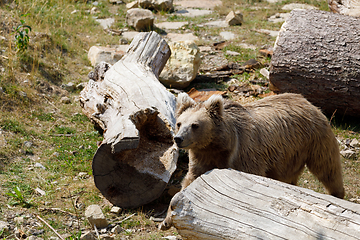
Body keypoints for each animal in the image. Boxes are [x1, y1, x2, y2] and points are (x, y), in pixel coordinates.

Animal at [160, 92, 344, 231]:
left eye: (195, 125)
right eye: (179, 123)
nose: (178, 139)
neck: (218, 146)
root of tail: (306, 101)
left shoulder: (246, 155)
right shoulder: (202, 158)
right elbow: (189, 182)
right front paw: (166, 220)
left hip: (313, 139)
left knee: (327, 166)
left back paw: (337, 194)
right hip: (289, 154)